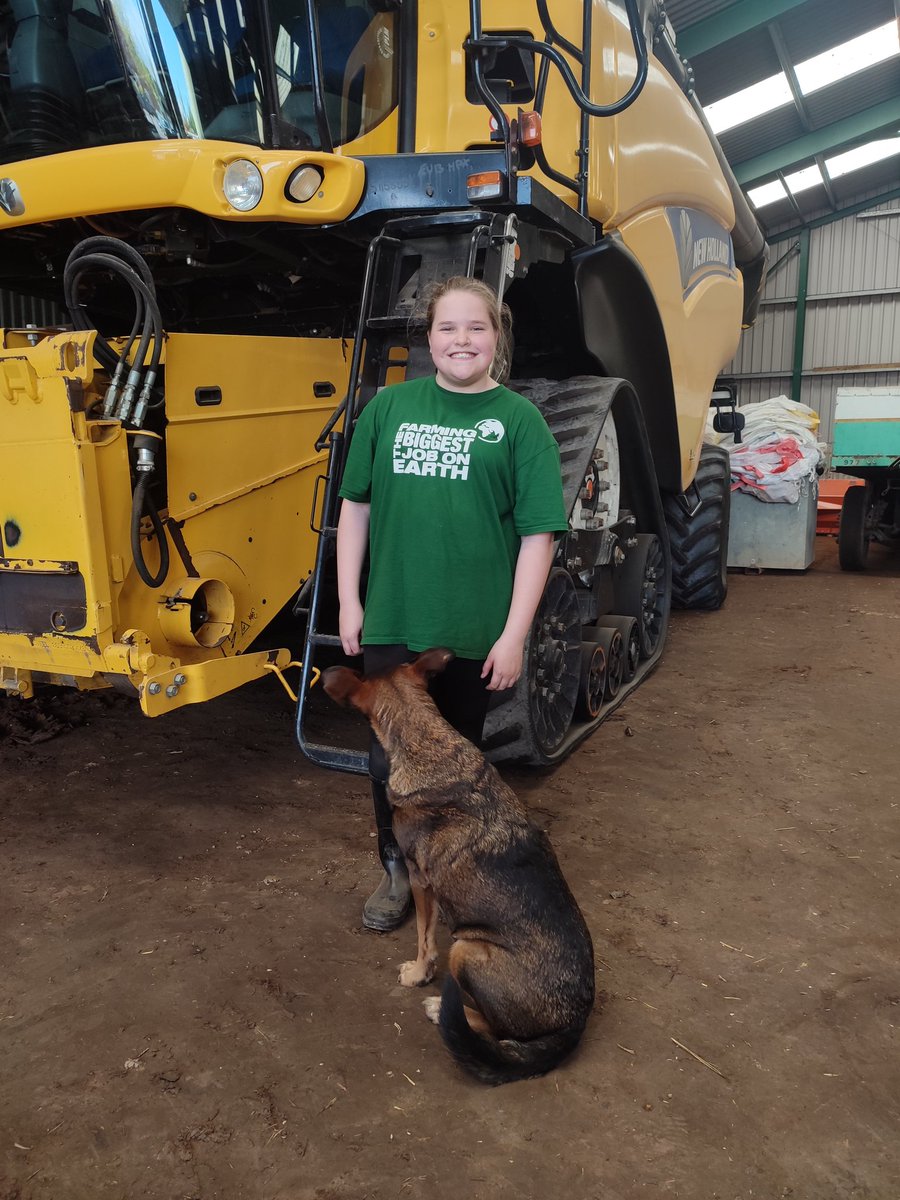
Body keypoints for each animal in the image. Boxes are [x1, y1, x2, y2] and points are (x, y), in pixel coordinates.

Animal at [321, 648, 595, 1089]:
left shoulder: (420, 880)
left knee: (492, 1029)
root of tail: (576, 1022)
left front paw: (418, 974)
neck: (429, 742)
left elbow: (424, 937)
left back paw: (439, 1008)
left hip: (466, 950)